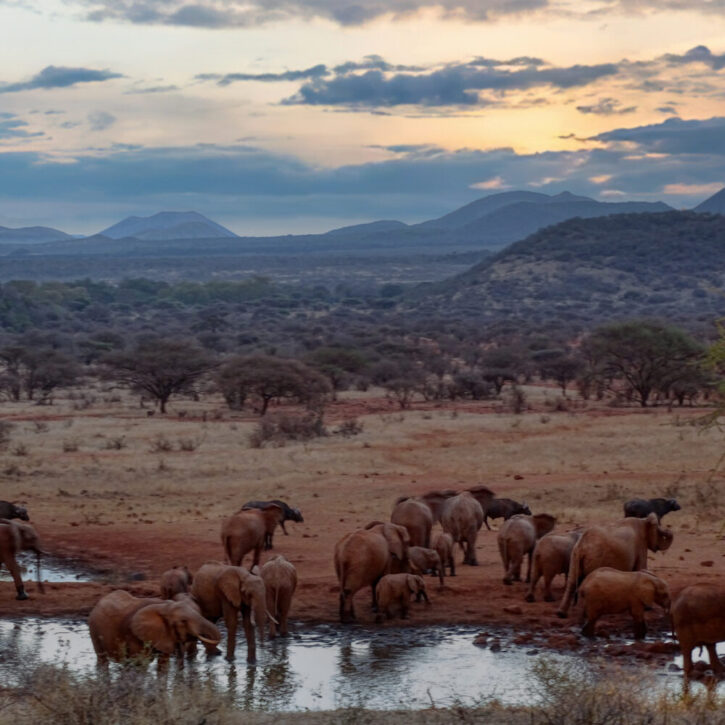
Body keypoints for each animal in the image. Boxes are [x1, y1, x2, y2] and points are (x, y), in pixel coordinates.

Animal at [87, 584, 219, 664]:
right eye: (183, 621)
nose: (218, 653)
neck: (164, 606)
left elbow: (163, 665)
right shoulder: (133, 634)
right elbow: (140, 665)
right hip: (94, 629)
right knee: (102, 659)